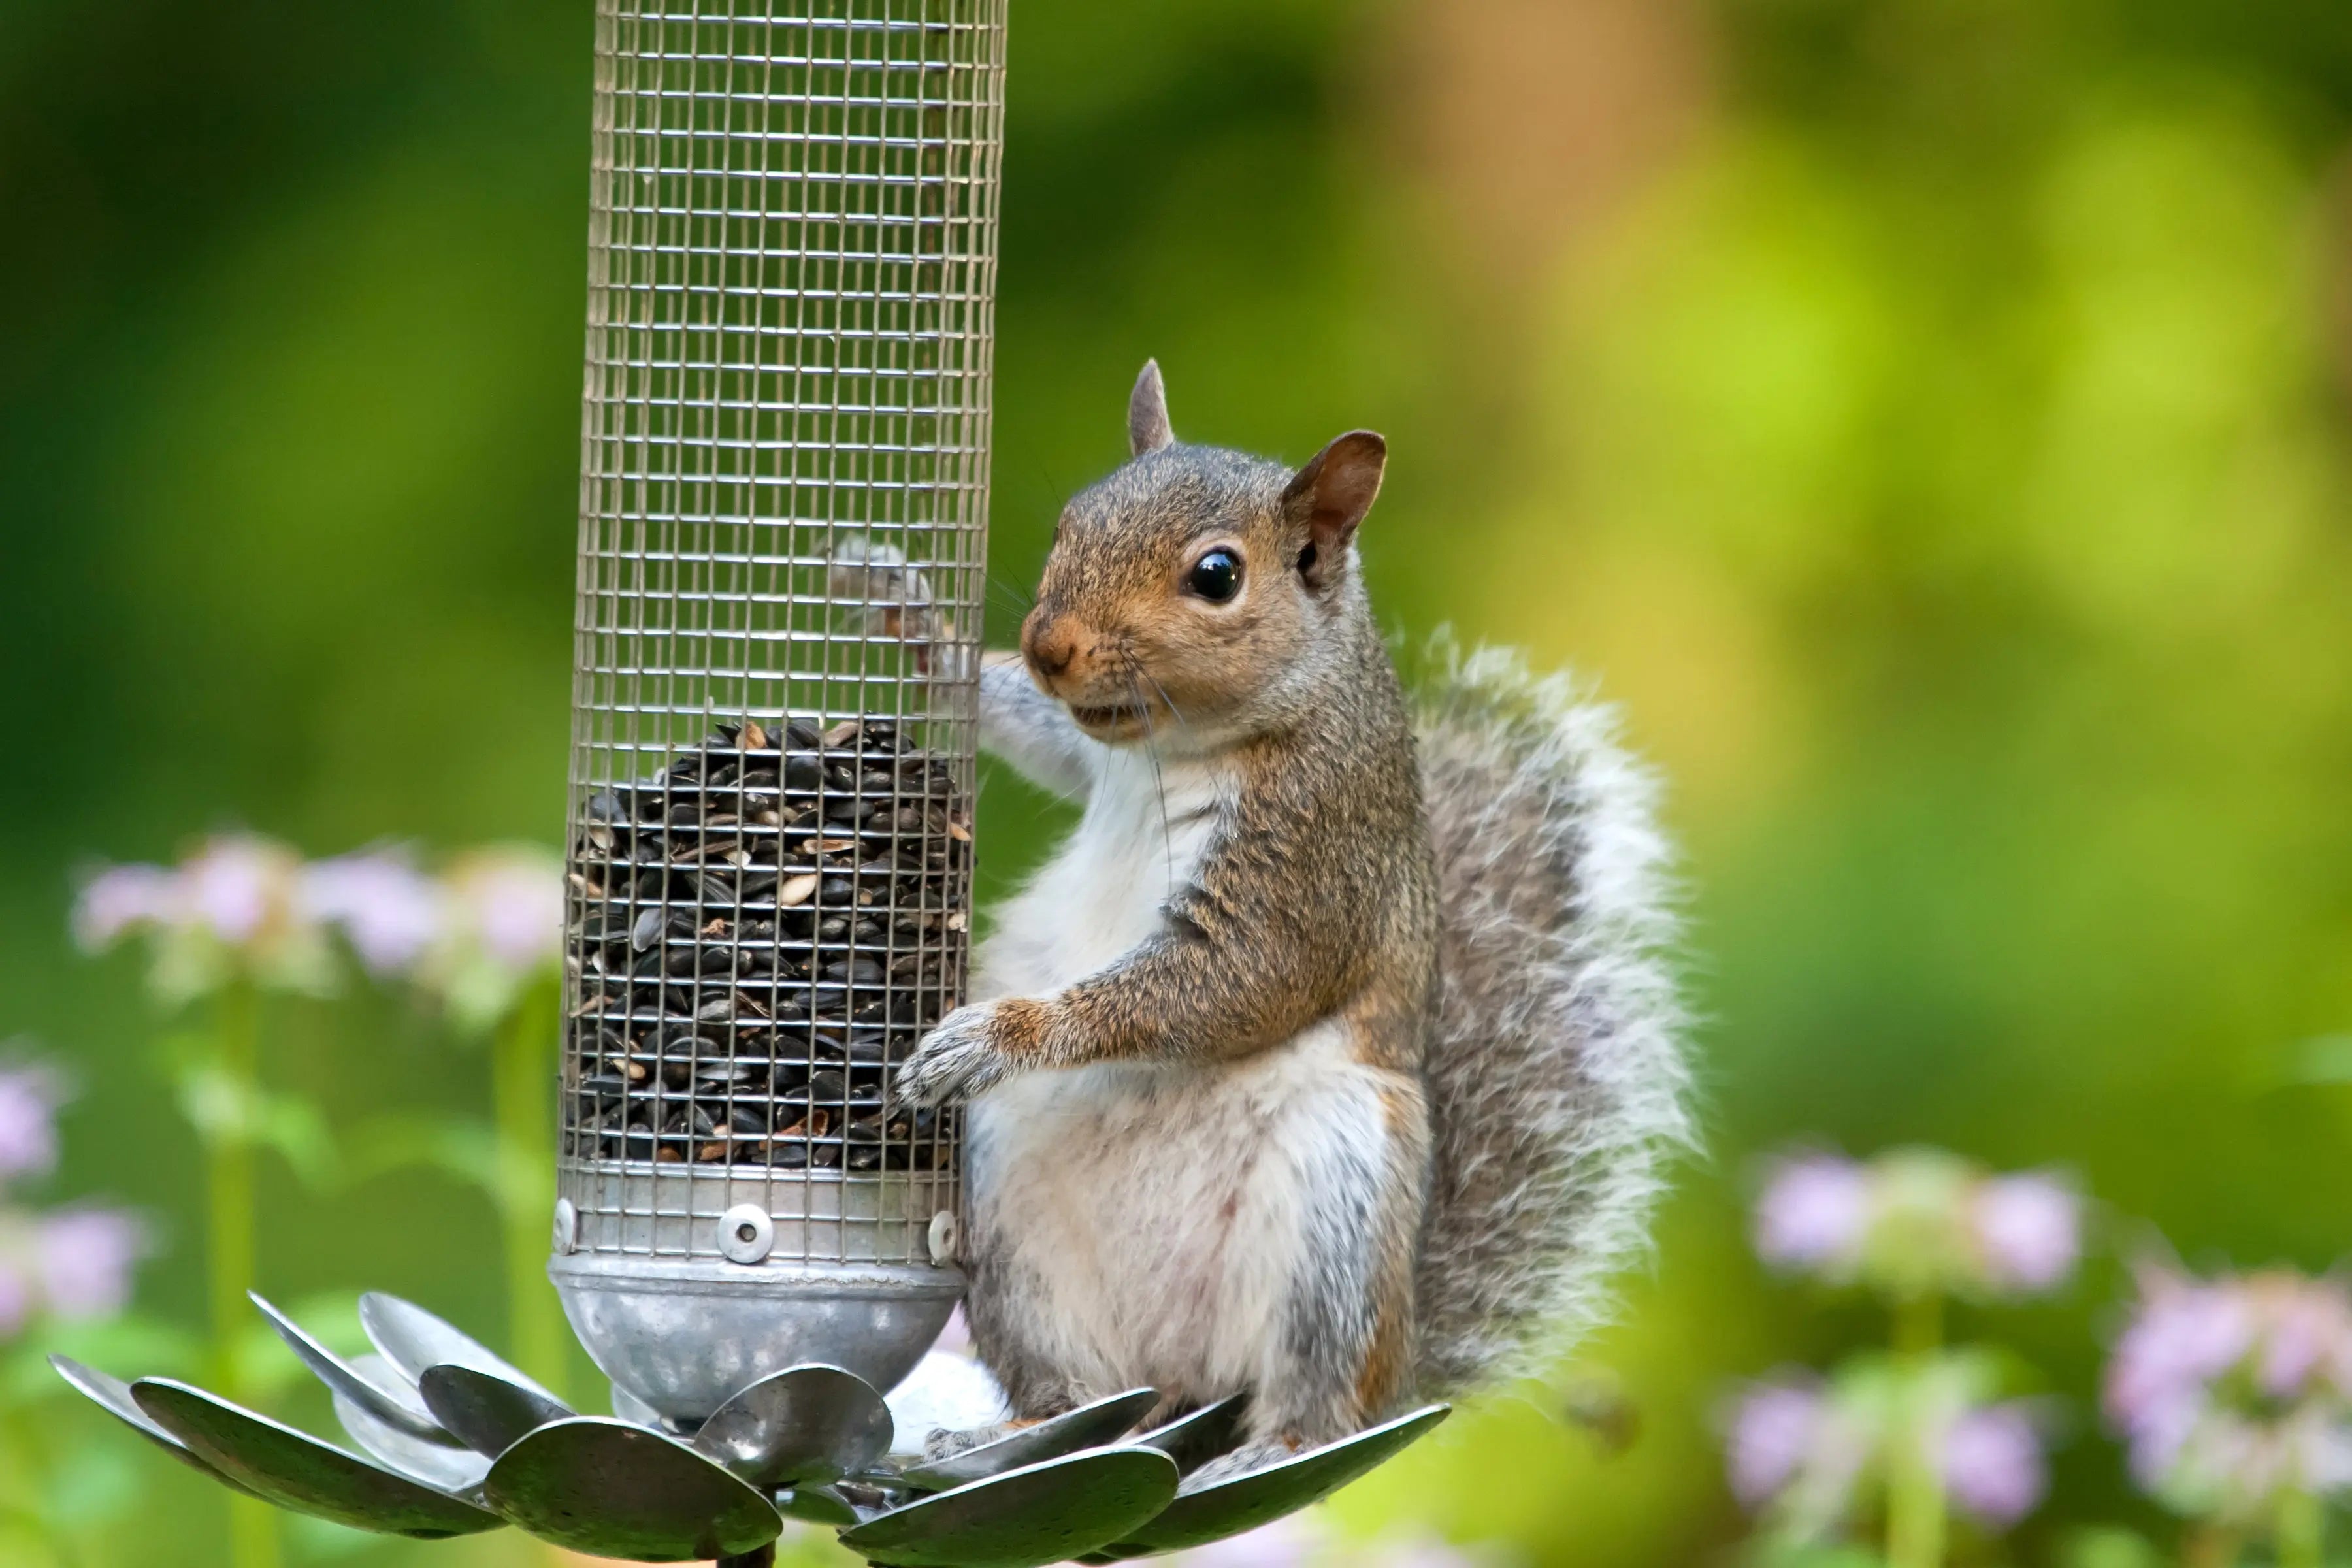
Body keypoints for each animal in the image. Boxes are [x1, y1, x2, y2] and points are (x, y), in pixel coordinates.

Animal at [894, 361, 1691, 1485]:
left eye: (1217, 576)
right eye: (1069, 520)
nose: (1047, 646)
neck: (1182, 745)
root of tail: (1180, 1376)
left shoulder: (1312, 861)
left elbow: (1229, 983)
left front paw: (1002, 1034)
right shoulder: (1095, 753)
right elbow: (1045, 735)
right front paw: (911, 616)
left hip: (1339, 1197)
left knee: (1318, 1400)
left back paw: (1265, 1449)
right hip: (1010, 1220)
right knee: (1075, 1397)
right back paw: (1011, 1436)